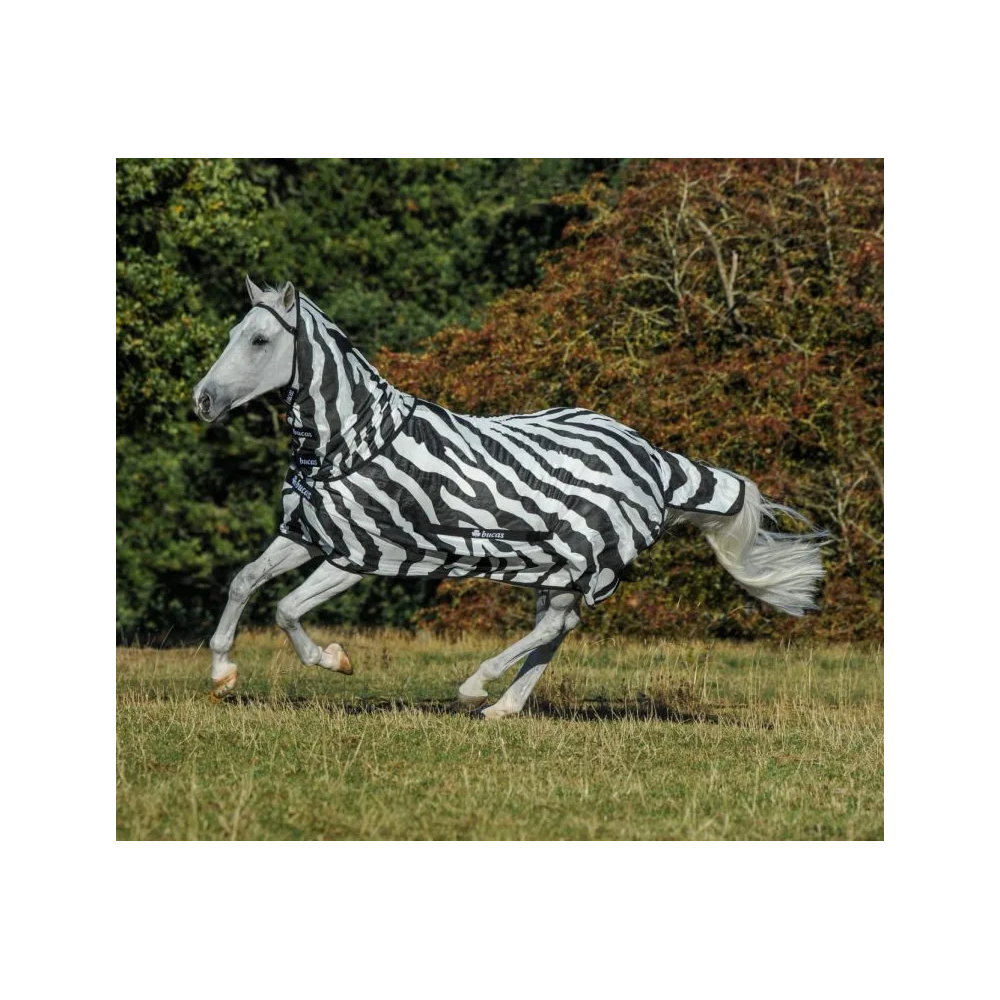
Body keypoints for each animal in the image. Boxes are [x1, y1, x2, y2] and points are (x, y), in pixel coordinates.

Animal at [192, 278, 826, 718]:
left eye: (260, 339)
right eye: (231, 335)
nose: (203, 400)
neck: (349, 441)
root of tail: (654, 458)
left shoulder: (361, 553)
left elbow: (285, 608)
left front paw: (335, 660)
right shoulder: (306, 535)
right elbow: (245, 583)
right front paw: (223, 673)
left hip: (583, 557)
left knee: (554, 626)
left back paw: (476, 687)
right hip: (559, 565)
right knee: (560, 627)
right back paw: (504, 706)